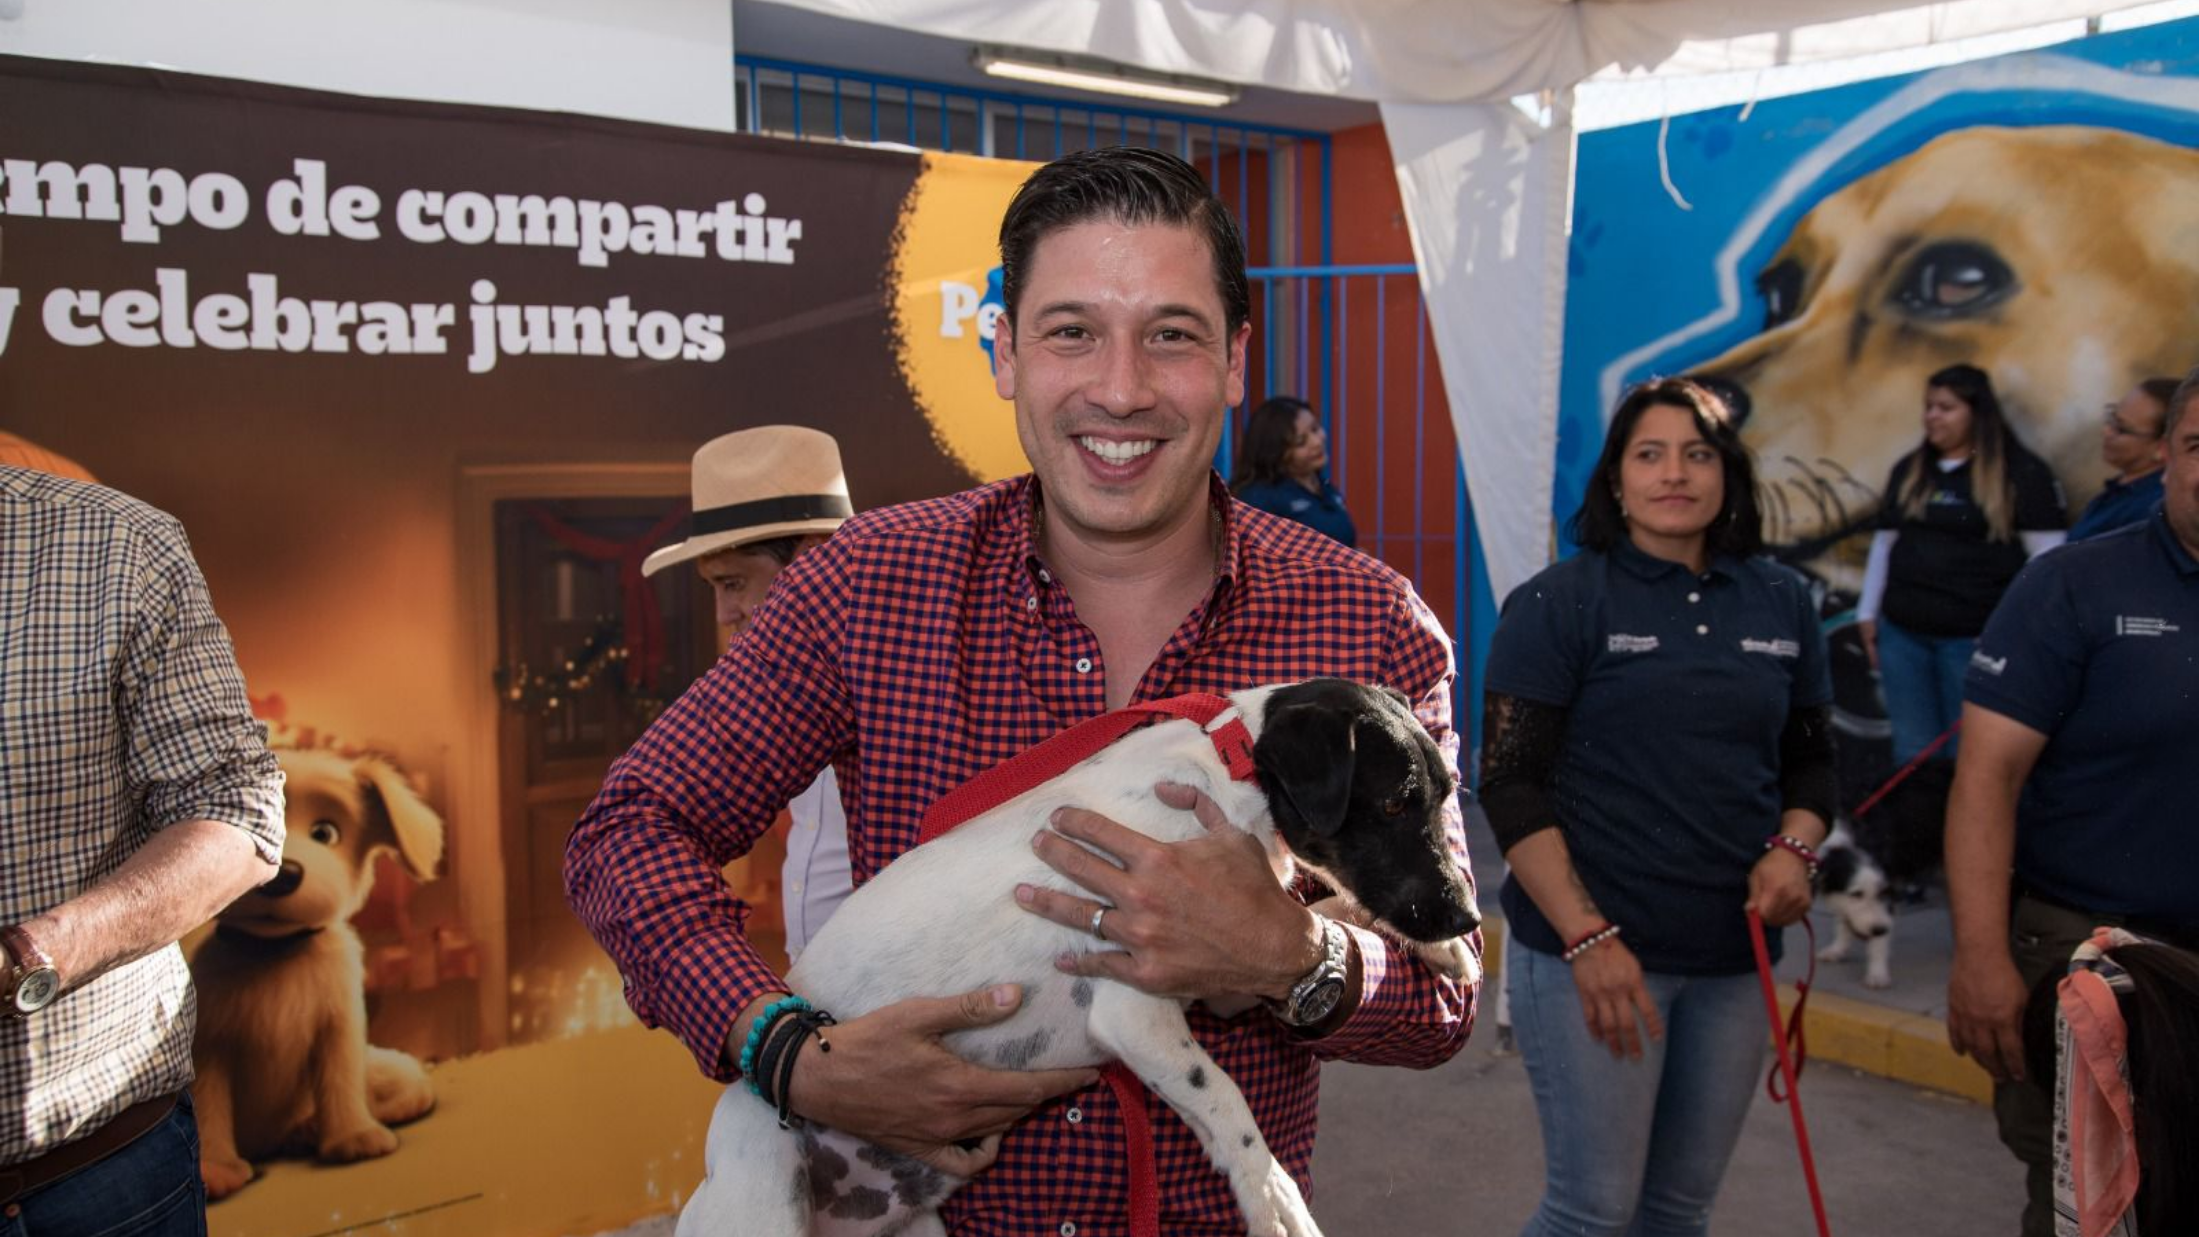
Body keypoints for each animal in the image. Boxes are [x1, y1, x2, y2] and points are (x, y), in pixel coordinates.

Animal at [677, 681, 1486, 1237]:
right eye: (1392, 803)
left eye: (1447, 792)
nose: (1470, 916)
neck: (1227, 775)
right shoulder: (1133, 1012)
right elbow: (1227, 1101)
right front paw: (1271, 1198)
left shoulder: (1228, 967)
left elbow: (1317, 915)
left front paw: (1444, 951)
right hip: (765, 1206)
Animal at [1811, 826, 1899, 993]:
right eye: (1856, 894)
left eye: (1882, 892)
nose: (1879, 930)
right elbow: (1843, 920)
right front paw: (1837, 949)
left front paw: (1877, 974)